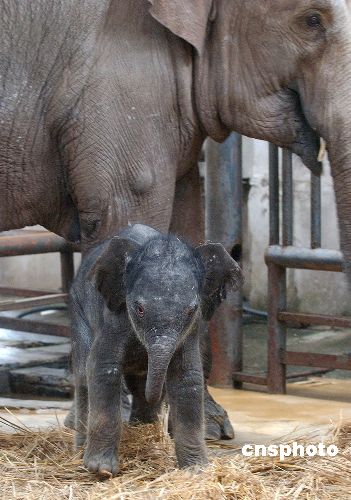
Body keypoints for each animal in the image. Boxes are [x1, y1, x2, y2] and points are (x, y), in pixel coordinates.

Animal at [70, 224, 243, 476]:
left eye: (191, 310)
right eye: (139, 309)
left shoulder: (191, 329)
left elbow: (187, 378)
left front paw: (197, 470)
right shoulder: (114, 315)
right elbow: (103, 368)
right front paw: (101, 470)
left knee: (139, 384)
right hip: (79, 312)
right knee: (84, 375)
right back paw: (79, 452)